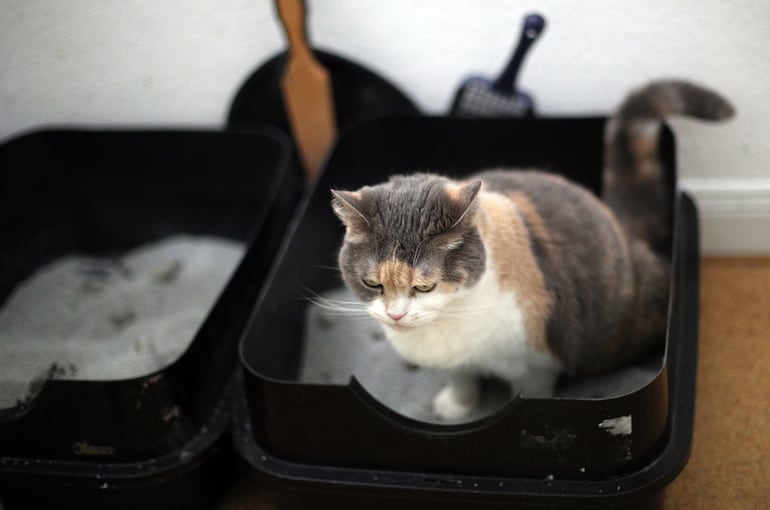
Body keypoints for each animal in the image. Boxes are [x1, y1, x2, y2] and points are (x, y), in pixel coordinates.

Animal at [328, 80, 732, 422]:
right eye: (372, 283)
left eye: (424, 286)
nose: (395, 315)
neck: (451, 320)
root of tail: (617, 223)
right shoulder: (456, 360)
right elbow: (461, 378)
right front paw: (457, 407)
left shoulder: (537, 363)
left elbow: (528, 396)